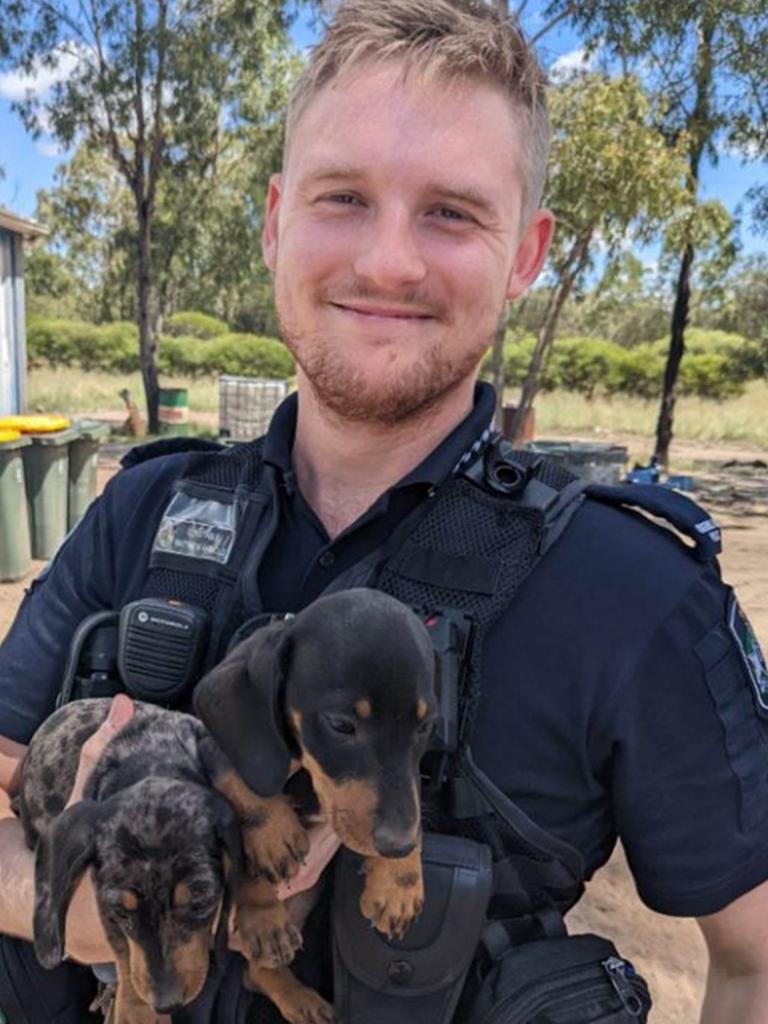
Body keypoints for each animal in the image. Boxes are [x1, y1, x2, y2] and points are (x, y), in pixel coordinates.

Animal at [16, 696, 243, 1024]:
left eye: (201, 902)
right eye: (121, 912)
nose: (167, 1003)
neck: (150, 756)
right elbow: (123, 949)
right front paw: (136, 1009)